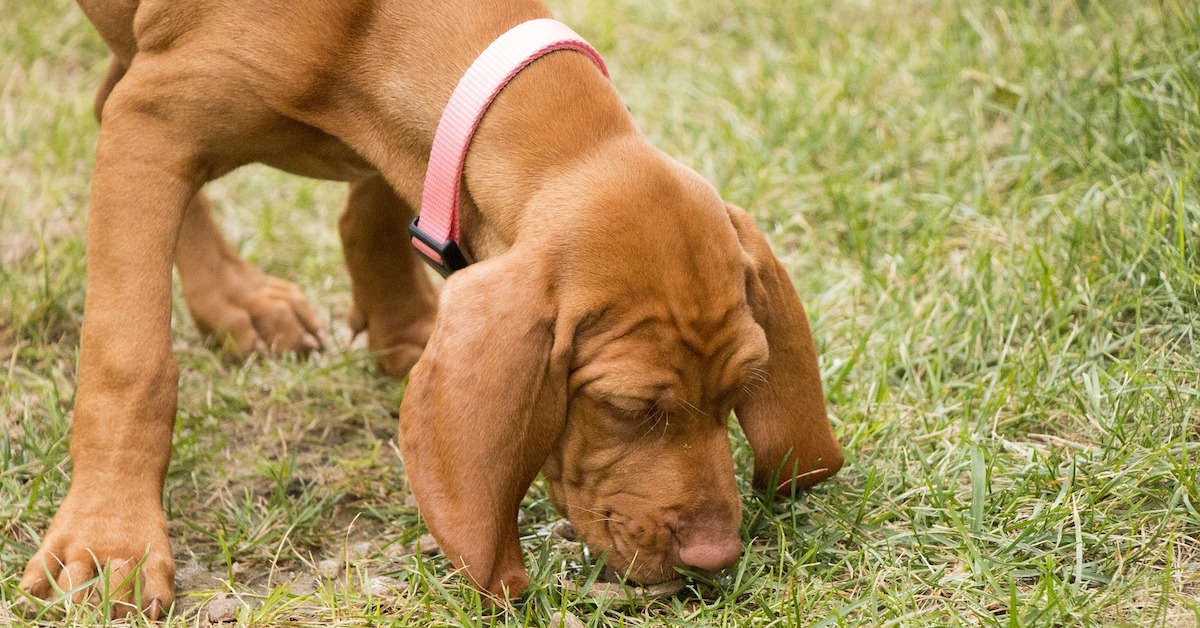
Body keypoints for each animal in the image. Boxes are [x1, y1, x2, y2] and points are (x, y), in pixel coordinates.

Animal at [18, 0, 844, 619]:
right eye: (629, 407)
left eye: (740, 390)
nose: (716, 557)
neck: (370, 31)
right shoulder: (155, 123)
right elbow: (131, 360)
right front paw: (110, 542)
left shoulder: (419, 154)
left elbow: (382, 206)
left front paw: (407, 332)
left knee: (104, 92)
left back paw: (237, 301)